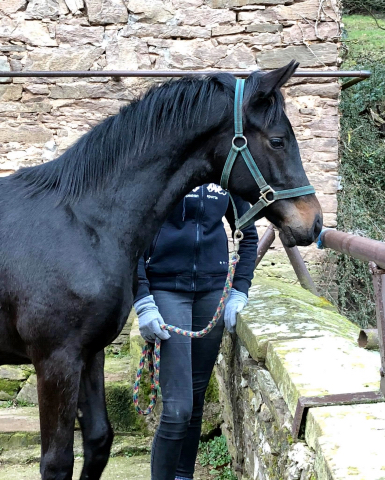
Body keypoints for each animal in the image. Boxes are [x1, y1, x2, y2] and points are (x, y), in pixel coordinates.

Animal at [0, 61, 320, 480]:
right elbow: (57, 461)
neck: (82, 224)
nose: (314, 223)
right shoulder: (56, 360)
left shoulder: (90, 353)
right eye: (279, 141)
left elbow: (99, 440)